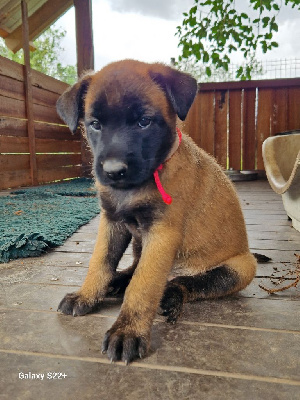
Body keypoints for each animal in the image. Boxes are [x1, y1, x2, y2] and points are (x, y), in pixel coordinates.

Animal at [55, 58, 255, 362]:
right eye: (95, 124)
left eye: (144, 122)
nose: (113, 171)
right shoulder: (112, 221)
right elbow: (100, 262)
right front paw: (86, 295)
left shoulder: (162, 233)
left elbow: (144, 284)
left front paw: (128, 331)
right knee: (134, 267)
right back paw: (117, 281)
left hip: (238, 268)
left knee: (184, 283)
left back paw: (170, 296)